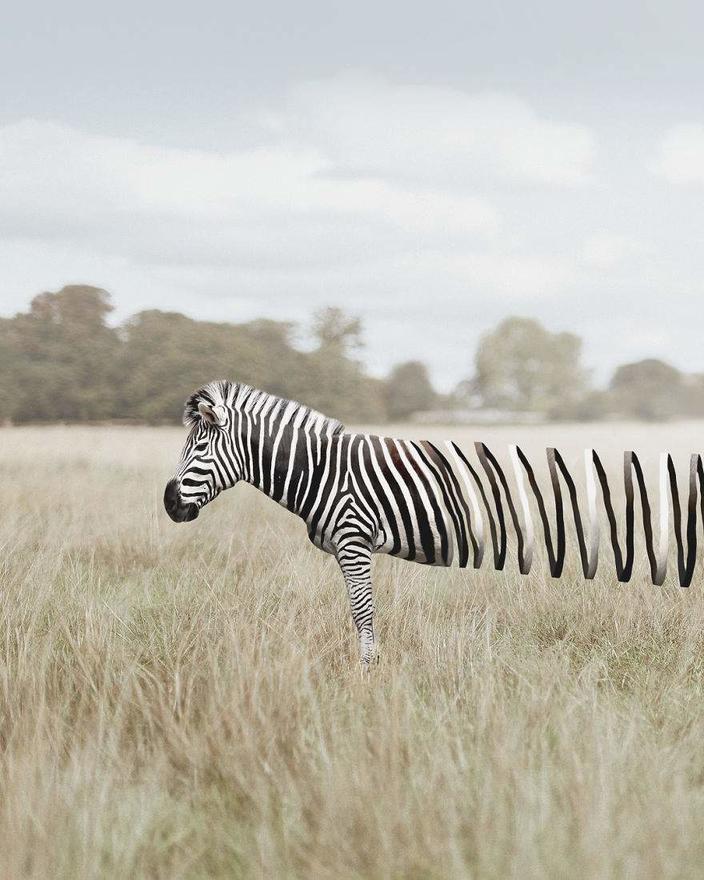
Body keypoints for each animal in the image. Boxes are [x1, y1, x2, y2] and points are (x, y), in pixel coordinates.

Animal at [164, 378, 704, 668]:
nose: (169, 505)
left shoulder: (354, 540)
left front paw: (367, 675)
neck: (321, 469)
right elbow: (359, 614)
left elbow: (364, 613)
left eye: (201, 447)